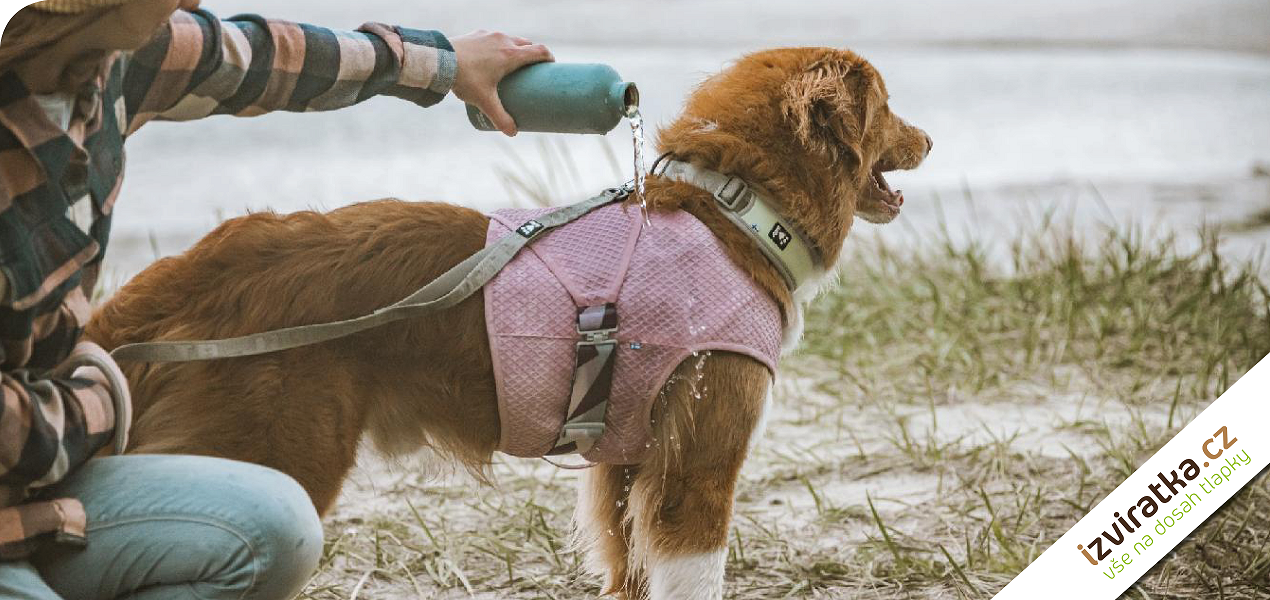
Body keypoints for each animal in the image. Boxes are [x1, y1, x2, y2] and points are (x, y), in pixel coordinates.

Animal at [84, 47, 929, 600]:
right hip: (272, 461)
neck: (733, 213)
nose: (929, 139)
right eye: (890, 105)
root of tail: (186, 273)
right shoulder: (696, 473)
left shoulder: (624, 468)